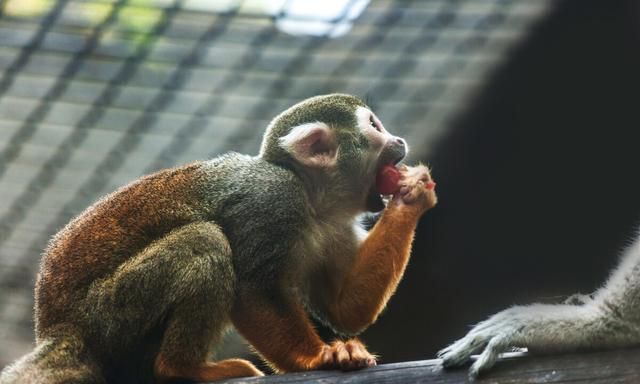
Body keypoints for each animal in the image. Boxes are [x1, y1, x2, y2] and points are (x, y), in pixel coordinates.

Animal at [0, 94, 436, 384]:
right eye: (375, 127)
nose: (399, 141)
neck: (312, 200)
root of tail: (58, 330)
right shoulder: (270, 199)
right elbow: (253, 292)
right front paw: (314, 359)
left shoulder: (337, 225)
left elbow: (345, 310)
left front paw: (413, 194)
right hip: (107, 315)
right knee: (205, 240)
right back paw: (183, 367)